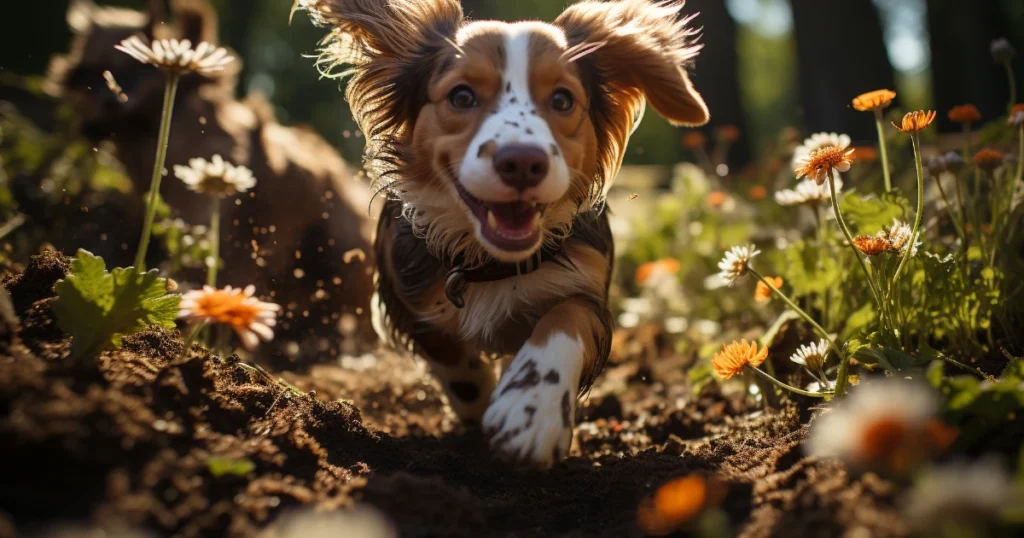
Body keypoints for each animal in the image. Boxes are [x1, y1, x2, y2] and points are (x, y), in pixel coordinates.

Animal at [299, 0, 708, 461]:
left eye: (563, 99)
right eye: (461, 96)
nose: (523, 162)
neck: (493, 262)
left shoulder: (589, 283)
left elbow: (566, 317)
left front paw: (531, 408)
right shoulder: (406, 295)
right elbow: (453, 358)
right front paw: (479, 405)